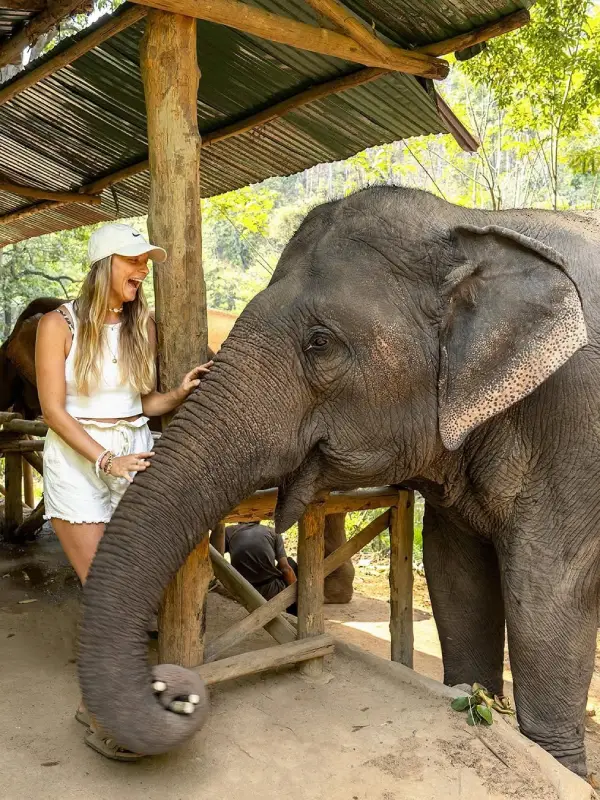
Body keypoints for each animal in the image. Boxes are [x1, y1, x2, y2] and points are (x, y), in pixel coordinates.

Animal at [77, 185, 599, 777]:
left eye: (320, 342)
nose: (175, 691)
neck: (471, 226)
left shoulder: (579, 421)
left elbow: (548, 589)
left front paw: (557, 765)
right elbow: (455, 571)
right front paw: (473, 702)